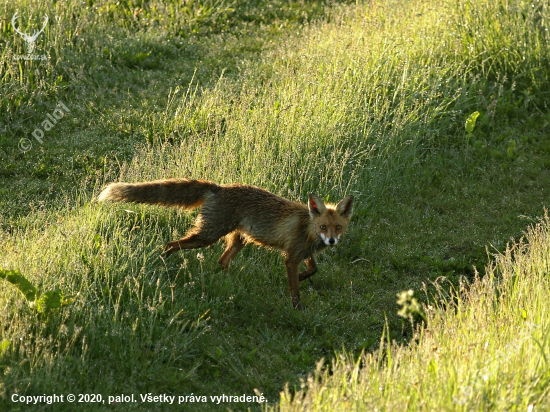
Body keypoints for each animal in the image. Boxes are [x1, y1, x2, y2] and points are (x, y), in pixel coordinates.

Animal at [99, 179, 356, 310]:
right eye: (323, 227)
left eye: (338, 227)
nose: (331, 241)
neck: (308, 228)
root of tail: (220, 187)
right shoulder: (292, 257)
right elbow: (295, 288)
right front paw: (297, 306)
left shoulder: (302, 252)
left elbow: (314, 268)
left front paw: (303, 278)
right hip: (208, 235)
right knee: (170, 244)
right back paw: (162, 265)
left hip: (238, 240)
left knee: (222, 262)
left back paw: (230, 284)